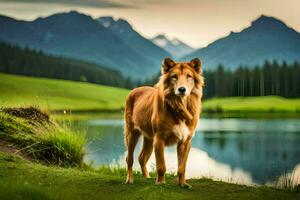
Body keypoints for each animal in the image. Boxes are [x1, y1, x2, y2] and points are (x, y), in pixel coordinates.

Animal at [123, 57, 204, 188]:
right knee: (129, 158)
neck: (180, 106)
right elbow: (161, 166)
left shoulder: (185, 141)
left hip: (149, 138)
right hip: (132, 134)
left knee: (141, 158)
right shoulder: (159, 138)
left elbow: (182, 167)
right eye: (174, 76)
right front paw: (160, 183)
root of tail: (135, 89)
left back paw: (147, 177)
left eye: (189, 76)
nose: (182, 89)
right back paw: (130, 179)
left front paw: (183, 184)